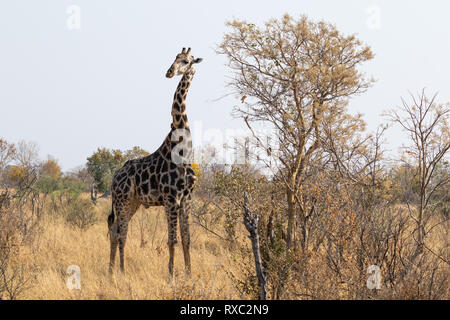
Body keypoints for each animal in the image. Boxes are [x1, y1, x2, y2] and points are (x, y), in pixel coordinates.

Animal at [107, 47, 202, 278]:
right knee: (120, 232)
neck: (183, 149)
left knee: (115, 230)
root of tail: (114, 179)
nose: (169, 72)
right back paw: (121, 271)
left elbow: (186, 239)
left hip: (133, 201)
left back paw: (111, 271)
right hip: (122, 200)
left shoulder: (186, 199)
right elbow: (172, 240)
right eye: (174, 58)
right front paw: (171, 276)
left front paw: (189, 274)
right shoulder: (171, 199)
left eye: (186, 61)